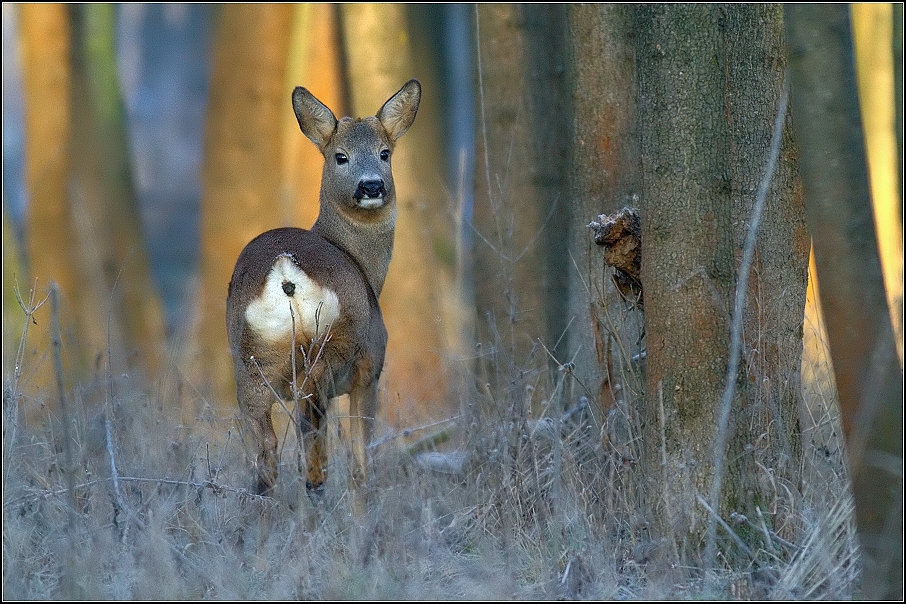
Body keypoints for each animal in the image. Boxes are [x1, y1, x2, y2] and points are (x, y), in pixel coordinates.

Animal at [228, 79, 422, 500]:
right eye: (340, 156)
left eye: (384, 153)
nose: (371, 185)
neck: (363, 265)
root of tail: (285, 269)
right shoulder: (369, 366)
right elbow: (361, 459)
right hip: (327, 350)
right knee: (312, 440)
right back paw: (317, 490)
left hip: (248, 364)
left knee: (265, 457)